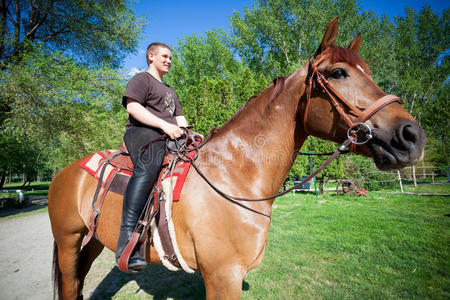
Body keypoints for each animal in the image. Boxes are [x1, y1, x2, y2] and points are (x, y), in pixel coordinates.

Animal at [48, 17, 426, 298]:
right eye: (337, 73)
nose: (412, 136)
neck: (234, 176)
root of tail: (65, 172)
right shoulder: (223, 276)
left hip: (92, 241)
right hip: (68, 242)